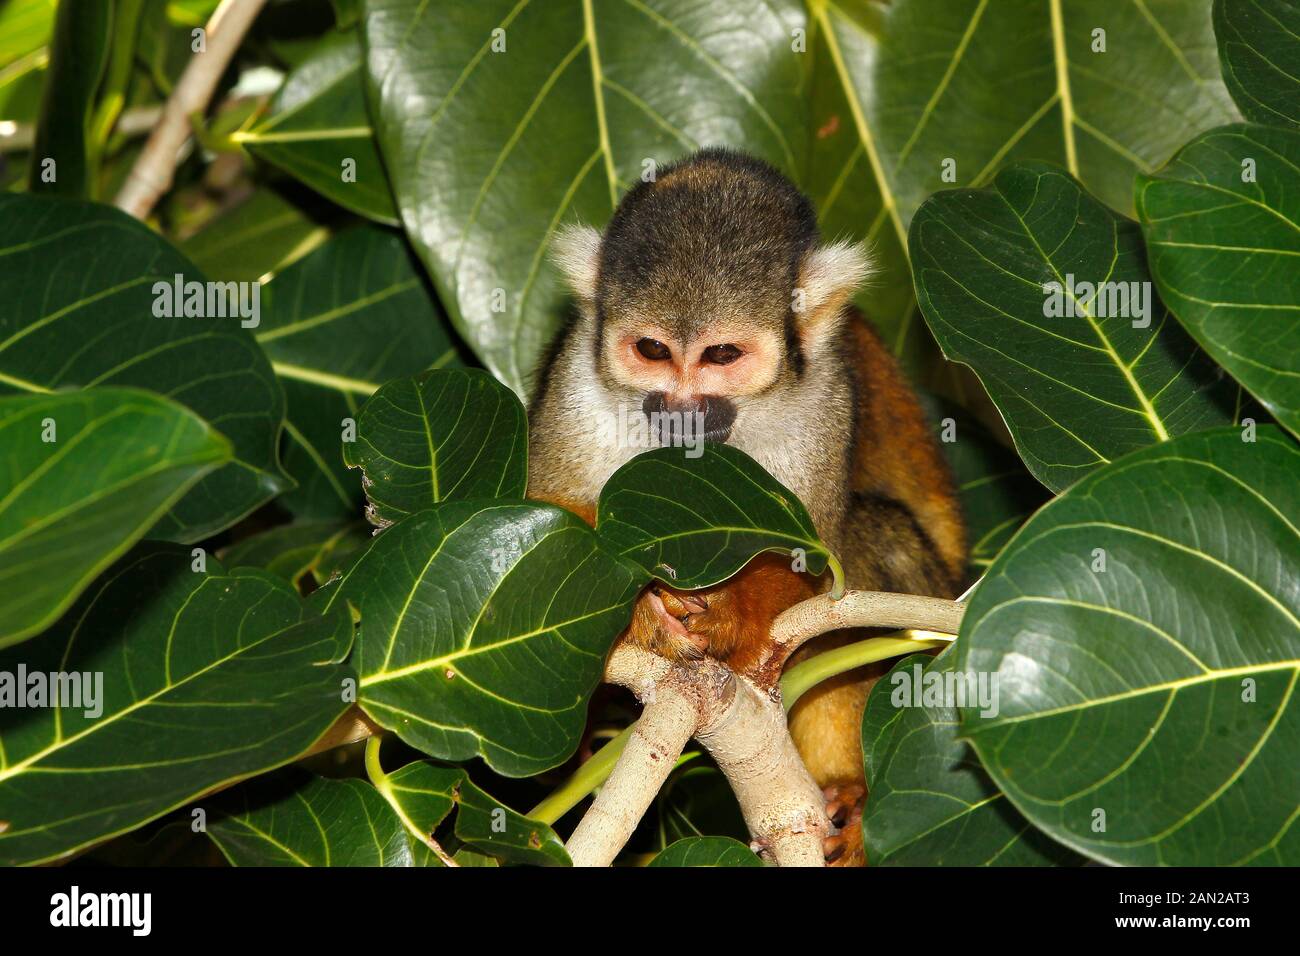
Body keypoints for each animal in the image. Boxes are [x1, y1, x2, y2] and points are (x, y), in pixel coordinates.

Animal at [527, 148, 965, 865]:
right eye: (652, 351)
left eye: (722, 355)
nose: (679, 410)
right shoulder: (573, 381)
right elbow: (539, 517)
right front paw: (642, 613)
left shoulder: (824, 402)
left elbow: (815, 563)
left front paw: (729, 618)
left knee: (879, 545)